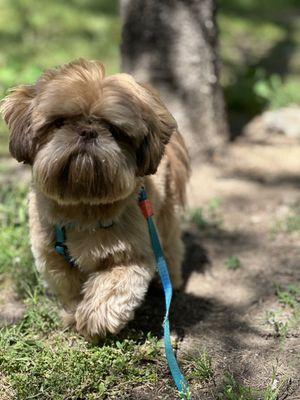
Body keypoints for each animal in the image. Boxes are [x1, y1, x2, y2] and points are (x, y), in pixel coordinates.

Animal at [1, 59, 190, 340]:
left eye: (113, 129)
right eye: (60, 122)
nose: (88, 131)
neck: (83, 206)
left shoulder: (132, 255)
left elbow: (112, 287)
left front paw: (94, 320)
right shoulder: (52, 257)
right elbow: (69, 287)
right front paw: (73, 314)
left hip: (163, 220)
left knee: (171, 247)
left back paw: (169, 281)